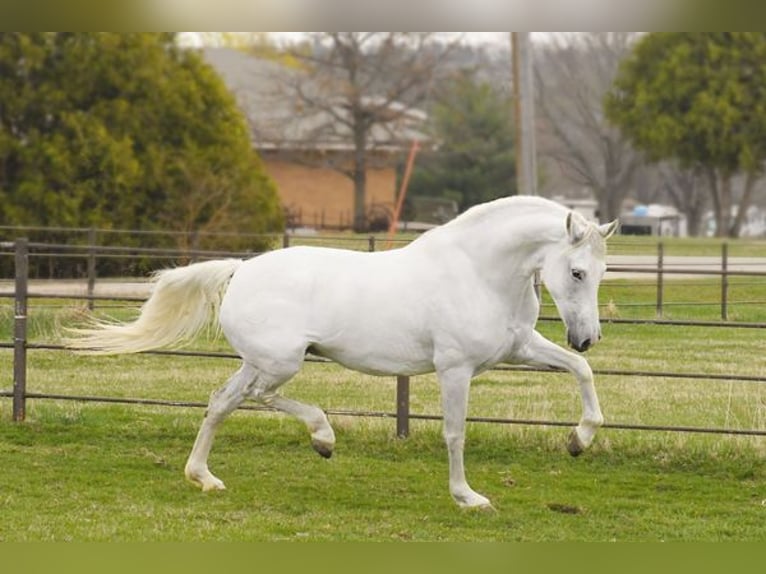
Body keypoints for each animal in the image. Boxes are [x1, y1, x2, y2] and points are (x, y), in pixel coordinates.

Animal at [66, 197, 616, 508]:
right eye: (576, 272)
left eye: (601, 272)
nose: (587, 335)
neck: (478, 272)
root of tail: (241, 269)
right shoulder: (455, 369)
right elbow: (455, 433)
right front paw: (467, 497)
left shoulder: (518, 347)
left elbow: (581, 372)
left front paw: (578, 440)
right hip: (281, 361)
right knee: (260, 397)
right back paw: (322, 436)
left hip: (260, 361)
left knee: (222, 401)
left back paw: (204, 478)